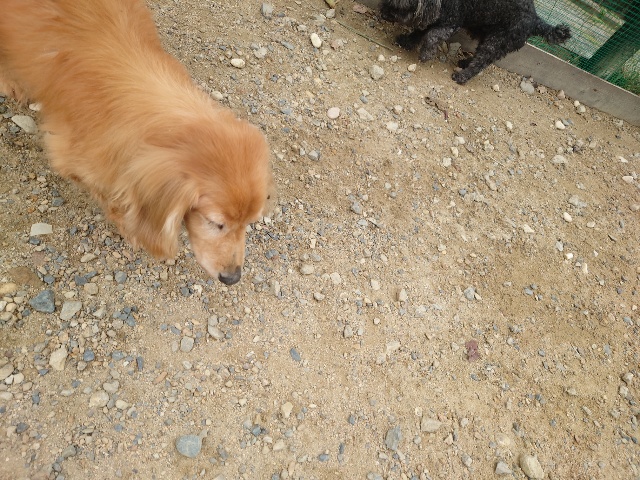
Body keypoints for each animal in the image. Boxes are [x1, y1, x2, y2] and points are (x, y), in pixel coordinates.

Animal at [0, 0, 272, 285]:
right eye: (216, 223)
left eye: (250, 222)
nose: (232, 278)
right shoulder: (71, 156)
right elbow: (108, 192)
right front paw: (129, 225)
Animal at [380, 0, 571, 84]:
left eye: (399, 7)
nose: (382, 14)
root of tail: (537, 20)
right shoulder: (436, 17)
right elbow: (420, 31)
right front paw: (405, 41)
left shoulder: (451, 23)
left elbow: (431, 35)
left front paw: (426, 54)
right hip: (489, 36)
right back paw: (465, 62)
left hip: (497, 41)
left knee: (481, 63)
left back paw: (462, 76)